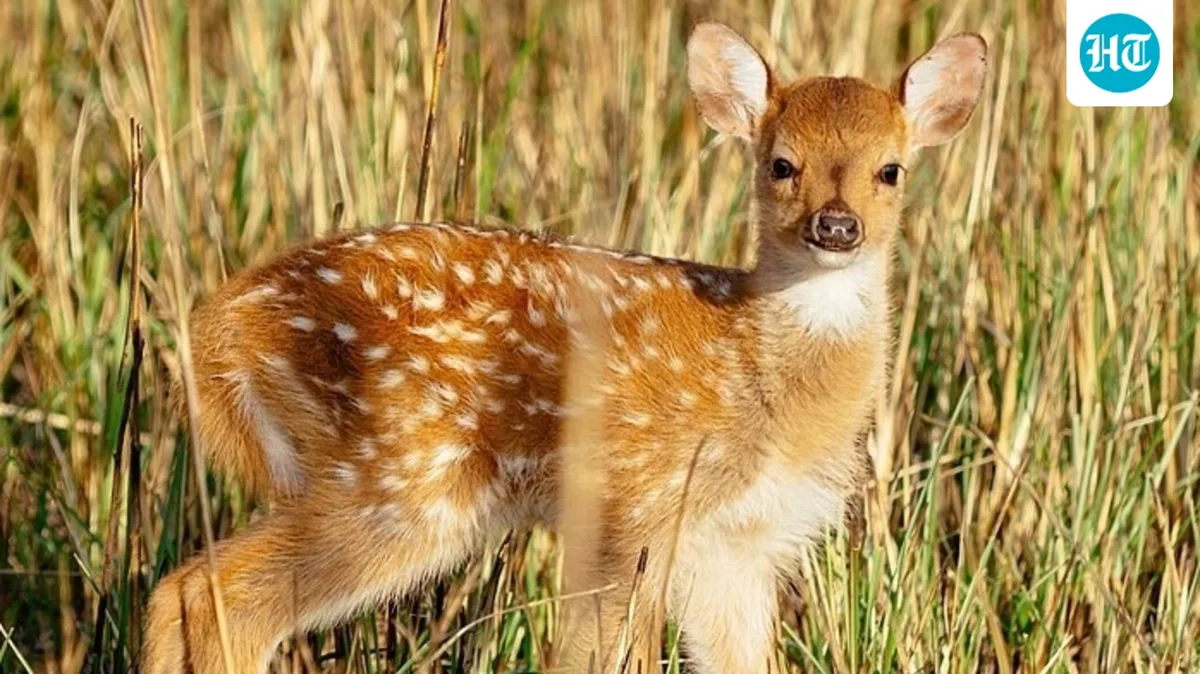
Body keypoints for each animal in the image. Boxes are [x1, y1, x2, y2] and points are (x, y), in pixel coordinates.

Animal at [143, 20, 986, 674]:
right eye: (782, 164)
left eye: (890, 170)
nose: (836, 226)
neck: (755, 379)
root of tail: (220, 326)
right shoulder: (634, 506)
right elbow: (591, 654)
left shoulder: (736, 549)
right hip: (401, 477)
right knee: (213, 596)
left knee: (178, 593)